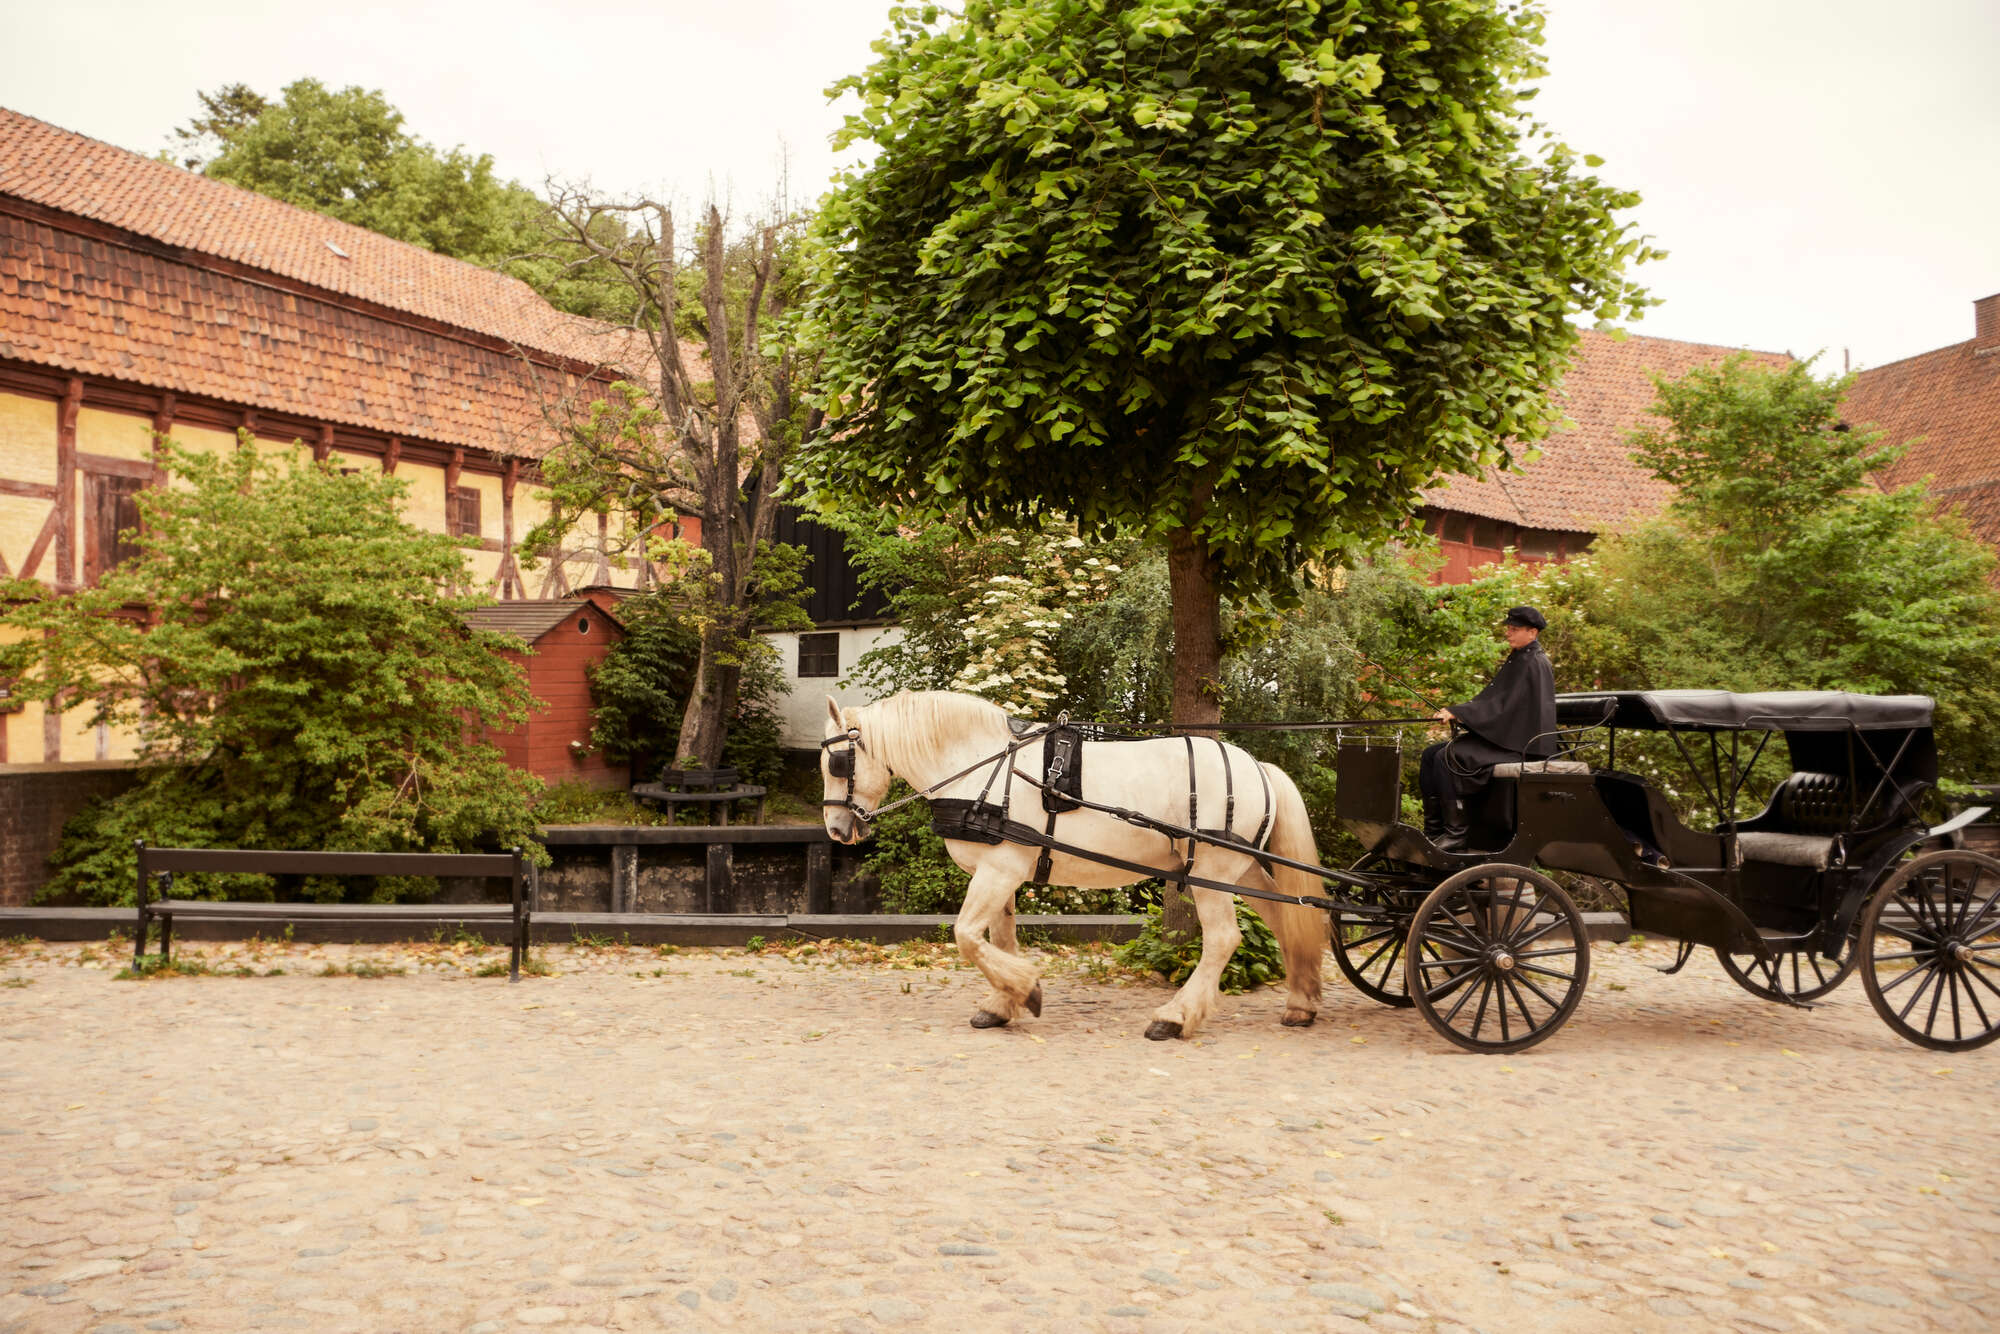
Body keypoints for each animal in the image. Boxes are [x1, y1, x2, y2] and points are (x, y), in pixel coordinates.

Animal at [816, 696, 1328, 1040]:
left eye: (838, 763)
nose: (837, 829)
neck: (981, 769)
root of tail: (1258, 767)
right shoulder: (1004, 872)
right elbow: (1000, 937)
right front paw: (1003, 1003)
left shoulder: (999, 869)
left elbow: (966, 936)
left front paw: (1027, 989)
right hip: (1242, 870)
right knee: (1287, 920)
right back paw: (1301, 1002)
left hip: (1213, 874)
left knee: (1223, 939)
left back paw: (1175, 1017)